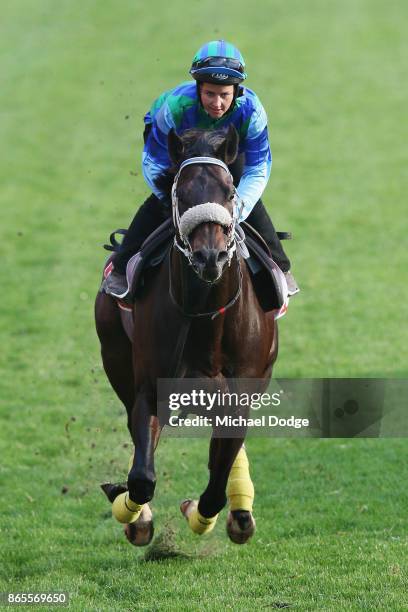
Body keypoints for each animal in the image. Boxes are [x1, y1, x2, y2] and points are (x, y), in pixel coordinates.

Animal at [95, 124, 278, 544]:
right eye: (181, 193)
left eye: (229, 191)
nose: (210, 256)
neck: (205, 318)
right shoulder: (150, 388)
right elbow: (142, 477)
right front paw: (134, 515)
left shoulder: (240, 396)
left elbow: (214, 489)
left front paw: (203, 512)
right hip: (114, 353)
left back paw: (240, 511)